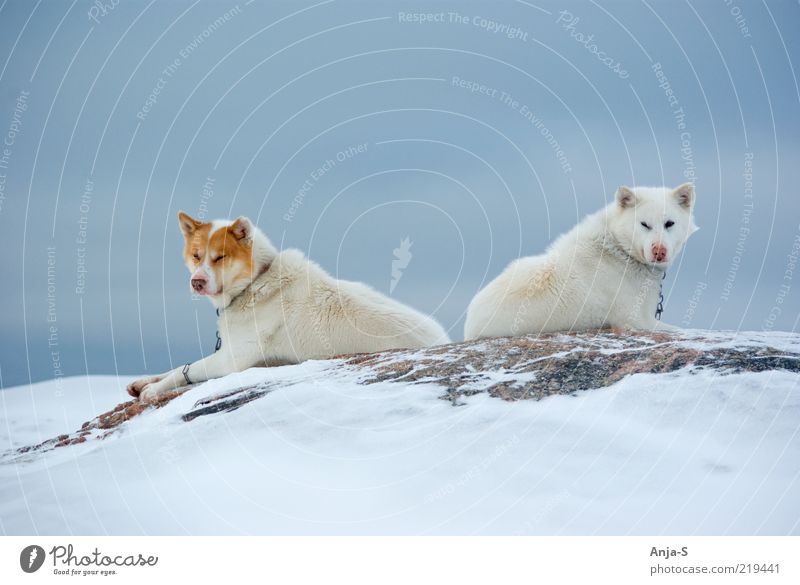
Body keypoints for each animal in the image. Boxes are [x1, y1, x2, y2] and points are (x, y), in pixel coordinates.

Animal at [126, 213, 450, 402]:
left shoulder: (231, 360)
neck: (256, 282)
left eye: (220, 257)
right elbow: (178, 366)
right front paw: (143, 382)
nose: (197, 282)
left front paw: (153, 390)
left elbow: (188, 370)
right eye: (196, 255)